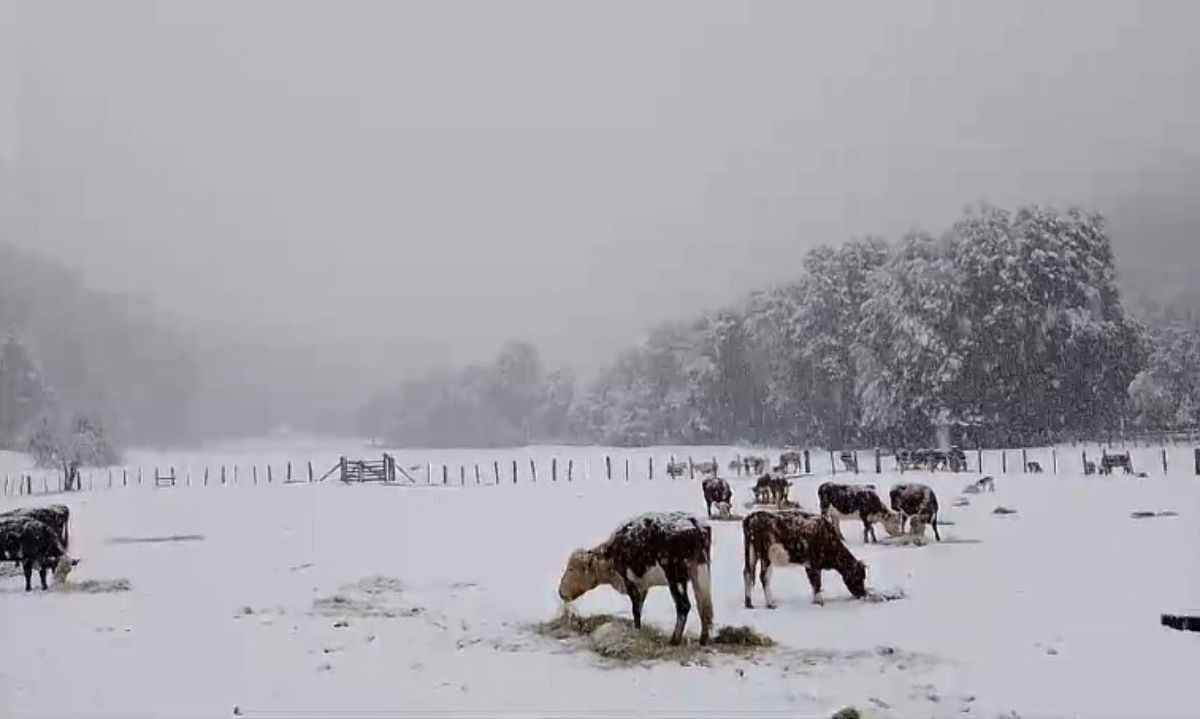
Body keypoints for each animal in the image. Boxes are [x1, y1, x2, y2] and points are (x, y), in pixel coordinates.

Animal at [559, 511, 715, 648]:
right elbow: (639, 607)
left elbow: (635, 610)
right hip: (700, 572)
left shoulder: (630, 582)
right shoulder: (642, 585)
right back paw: (703, 640)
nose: (561, 592)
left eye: (571, 568)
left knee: (684, 606)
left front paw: (636, 631)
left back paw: (674, 641)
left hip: (675, 578)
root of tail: (695, 525)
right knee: (703, 606)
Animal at [739, 508, 873, 609]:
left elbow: (813, 583)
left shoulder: (808, 565)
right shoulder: (814, 564)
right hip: (766, 556)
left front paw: (815, 600)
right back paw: (770, 604)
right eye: (859, 577)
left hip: (751, 553)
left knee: (747, 573)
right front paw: (820, 602)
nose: (862, 593)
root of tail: (752, 517)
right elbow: (817, 583)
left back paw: (749, 603)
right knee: (764, 577)